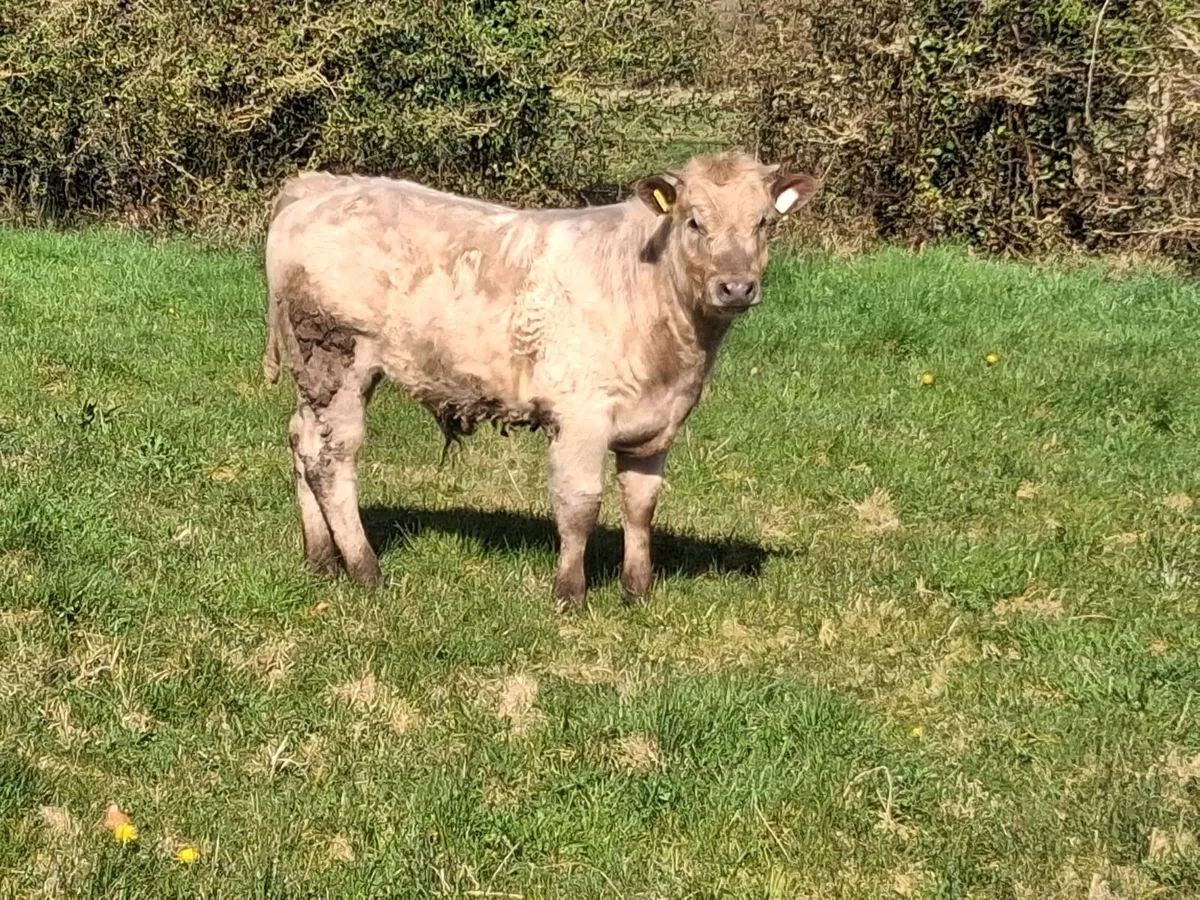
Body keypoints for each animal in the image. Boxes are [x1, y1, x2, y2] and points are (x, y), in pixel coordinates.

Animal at [262, 151, 819, 610]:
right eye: (694, 221)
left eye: (764, 222)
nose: (737, 287)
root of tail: (320, 186)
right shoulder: (581, 416)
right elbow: (580, 504)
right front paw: (570, 594)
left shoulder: (659, 423)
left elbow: (642, 504)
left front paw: (638, 590)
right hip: (338, 361)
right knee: (333, 461)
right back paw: (365, 569)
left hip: (313, 376)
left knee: (302, 442)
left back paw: (321, 559)